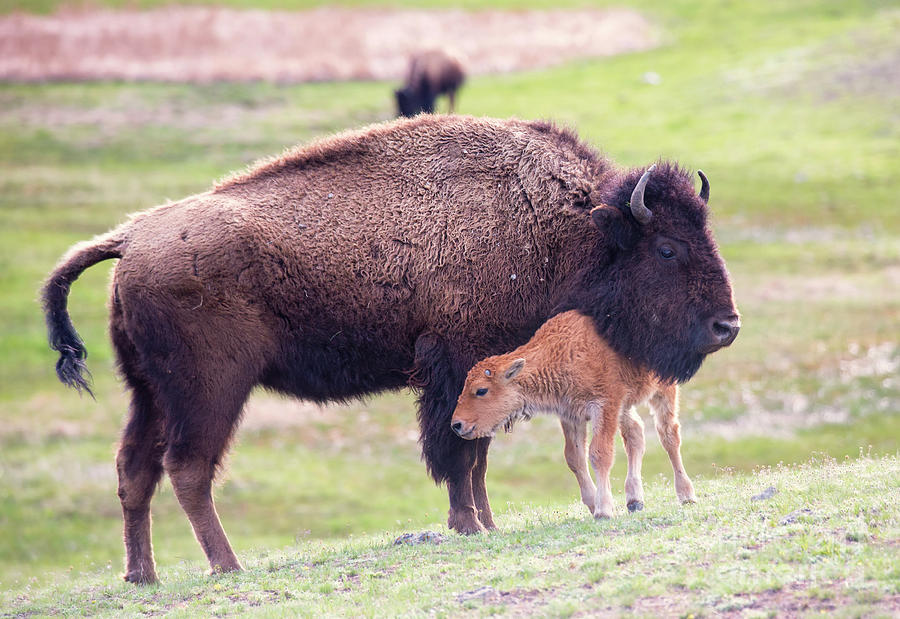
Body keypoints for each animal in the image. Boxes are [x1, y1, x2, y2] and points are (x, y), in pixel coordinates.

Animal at [454, 310, 700, 520]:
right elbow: (574, 458)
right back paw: (634, 500)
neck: (560, 351)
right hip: (626, 406)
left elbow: (600, 453)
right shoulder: (571, 415)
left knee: (669, 435)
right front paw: (593, 504)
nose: (456, 424)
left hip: (663, 390)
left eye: (481, 390)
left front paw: (603, 510)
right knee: (636, 434)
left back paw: (686, 495)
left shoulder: (604, 406)